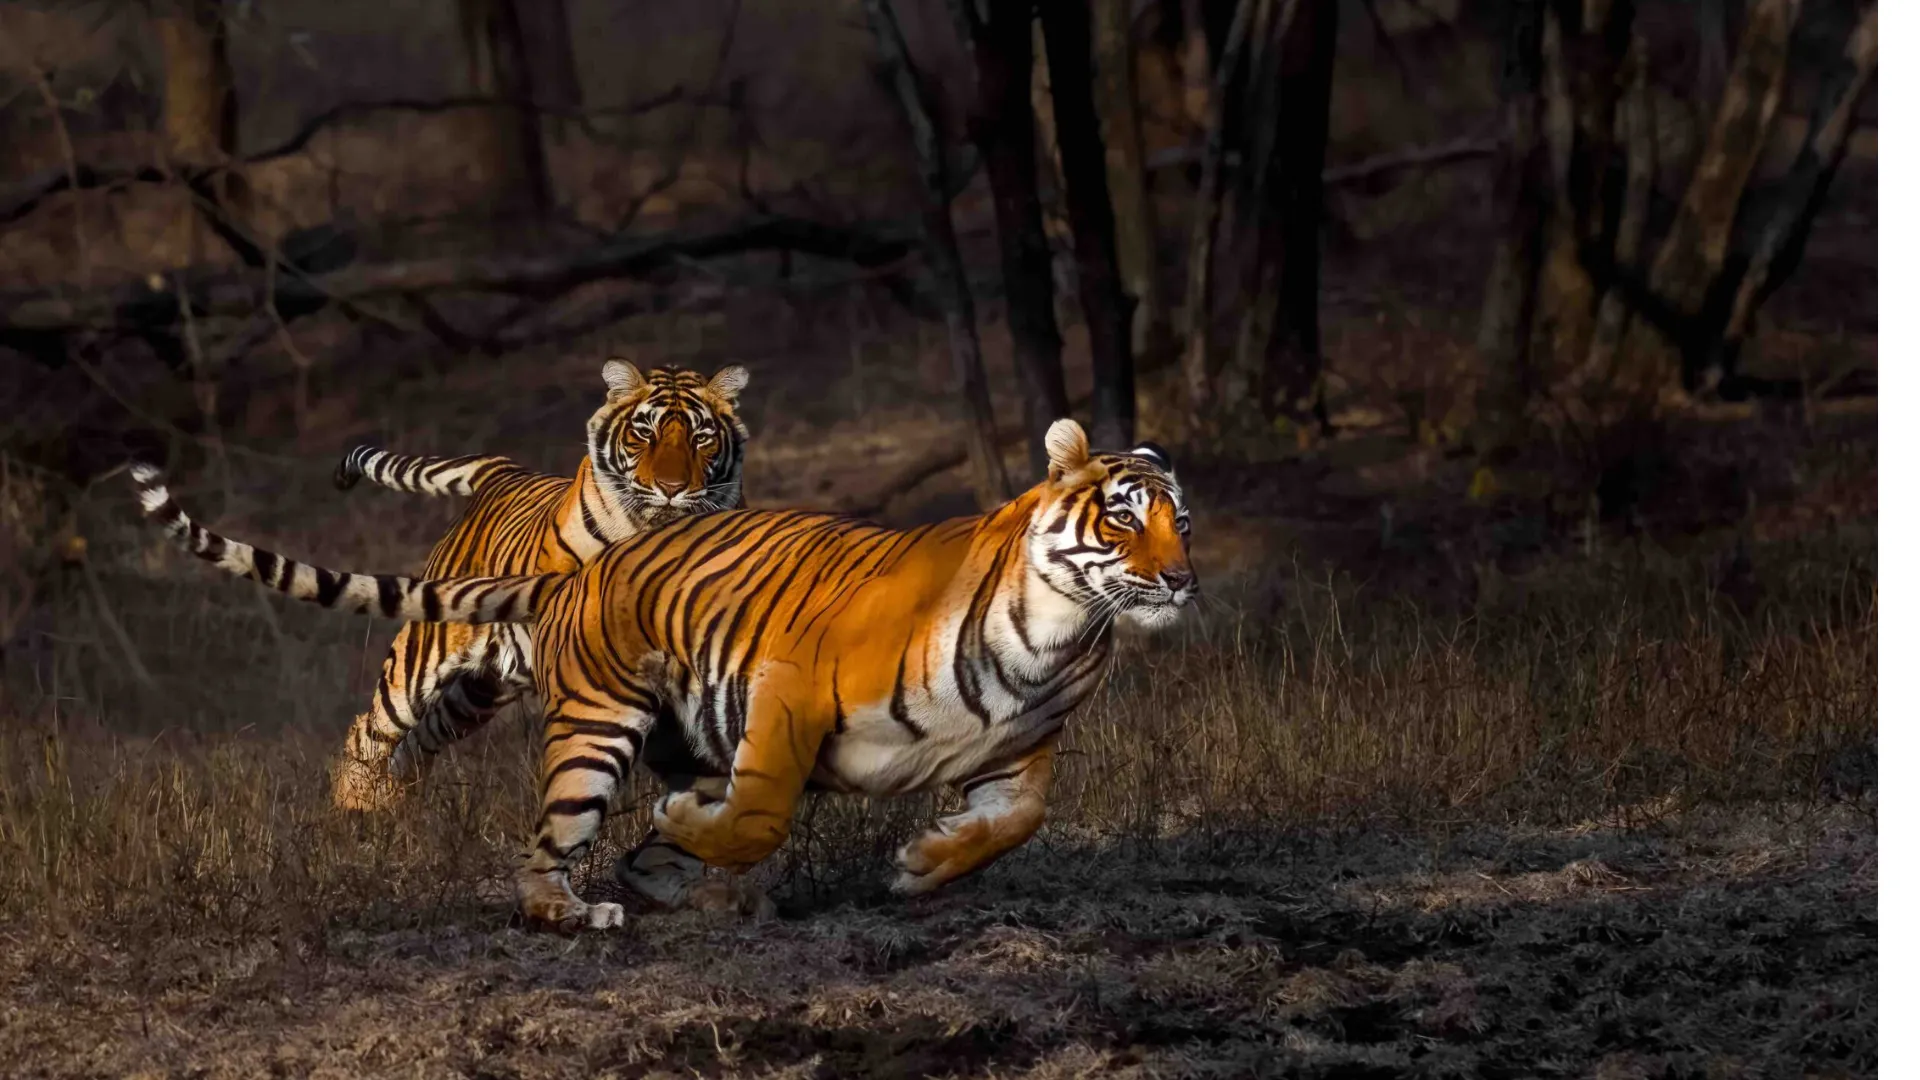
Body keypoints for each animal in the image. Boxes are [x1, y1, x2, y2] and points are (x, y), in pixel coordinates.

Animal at [130, 418, 1197, 930]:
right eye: (1122, 519)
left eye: (1182, 520)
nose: (1182, 577)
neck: (1055, 636)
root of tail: (577, 571)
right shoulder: (790, 688)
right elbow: (760, 810)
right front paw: (704, 831)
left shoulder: (1022, 752)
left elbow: (1020, 820)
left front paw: (922, 864)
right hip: (580, 724)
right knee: (535, 846)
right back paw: (576, 905)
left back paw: (692, 882)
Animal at [320, 358, 748, 822]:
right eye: (644, 433)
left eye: (701, 437)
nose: (671, 489)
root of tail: (503, 470)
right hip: (425, 654)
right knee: (371, 729)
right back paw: (353, 810)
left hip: (480, 692)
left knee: (422, 738)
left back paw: (396, 804)